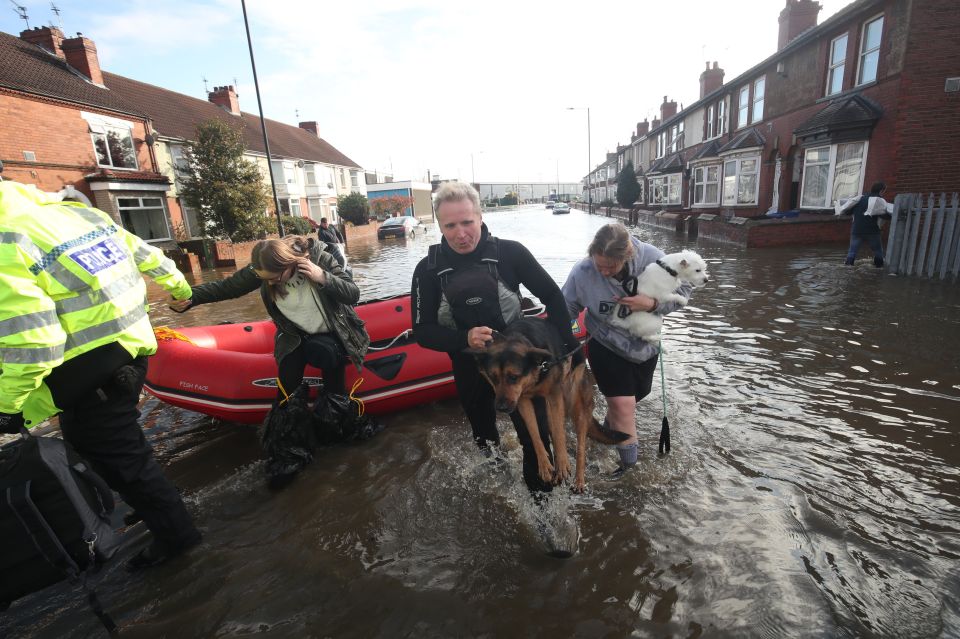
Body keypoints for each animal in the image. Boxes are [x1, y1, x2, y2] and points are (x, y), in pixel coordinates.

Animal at [470, 320, 632, 496]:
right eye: (493, 378)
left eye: (513, 377)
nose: (500, 408)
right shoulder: (523, 401)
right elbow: (534, 434)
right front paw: (545, 466)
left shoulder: (554, 395)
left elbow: (560, 434)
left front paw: (562, 464)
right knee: (552, 431)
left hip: (577, 405)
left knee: (580, 445)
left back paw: (578, 480)